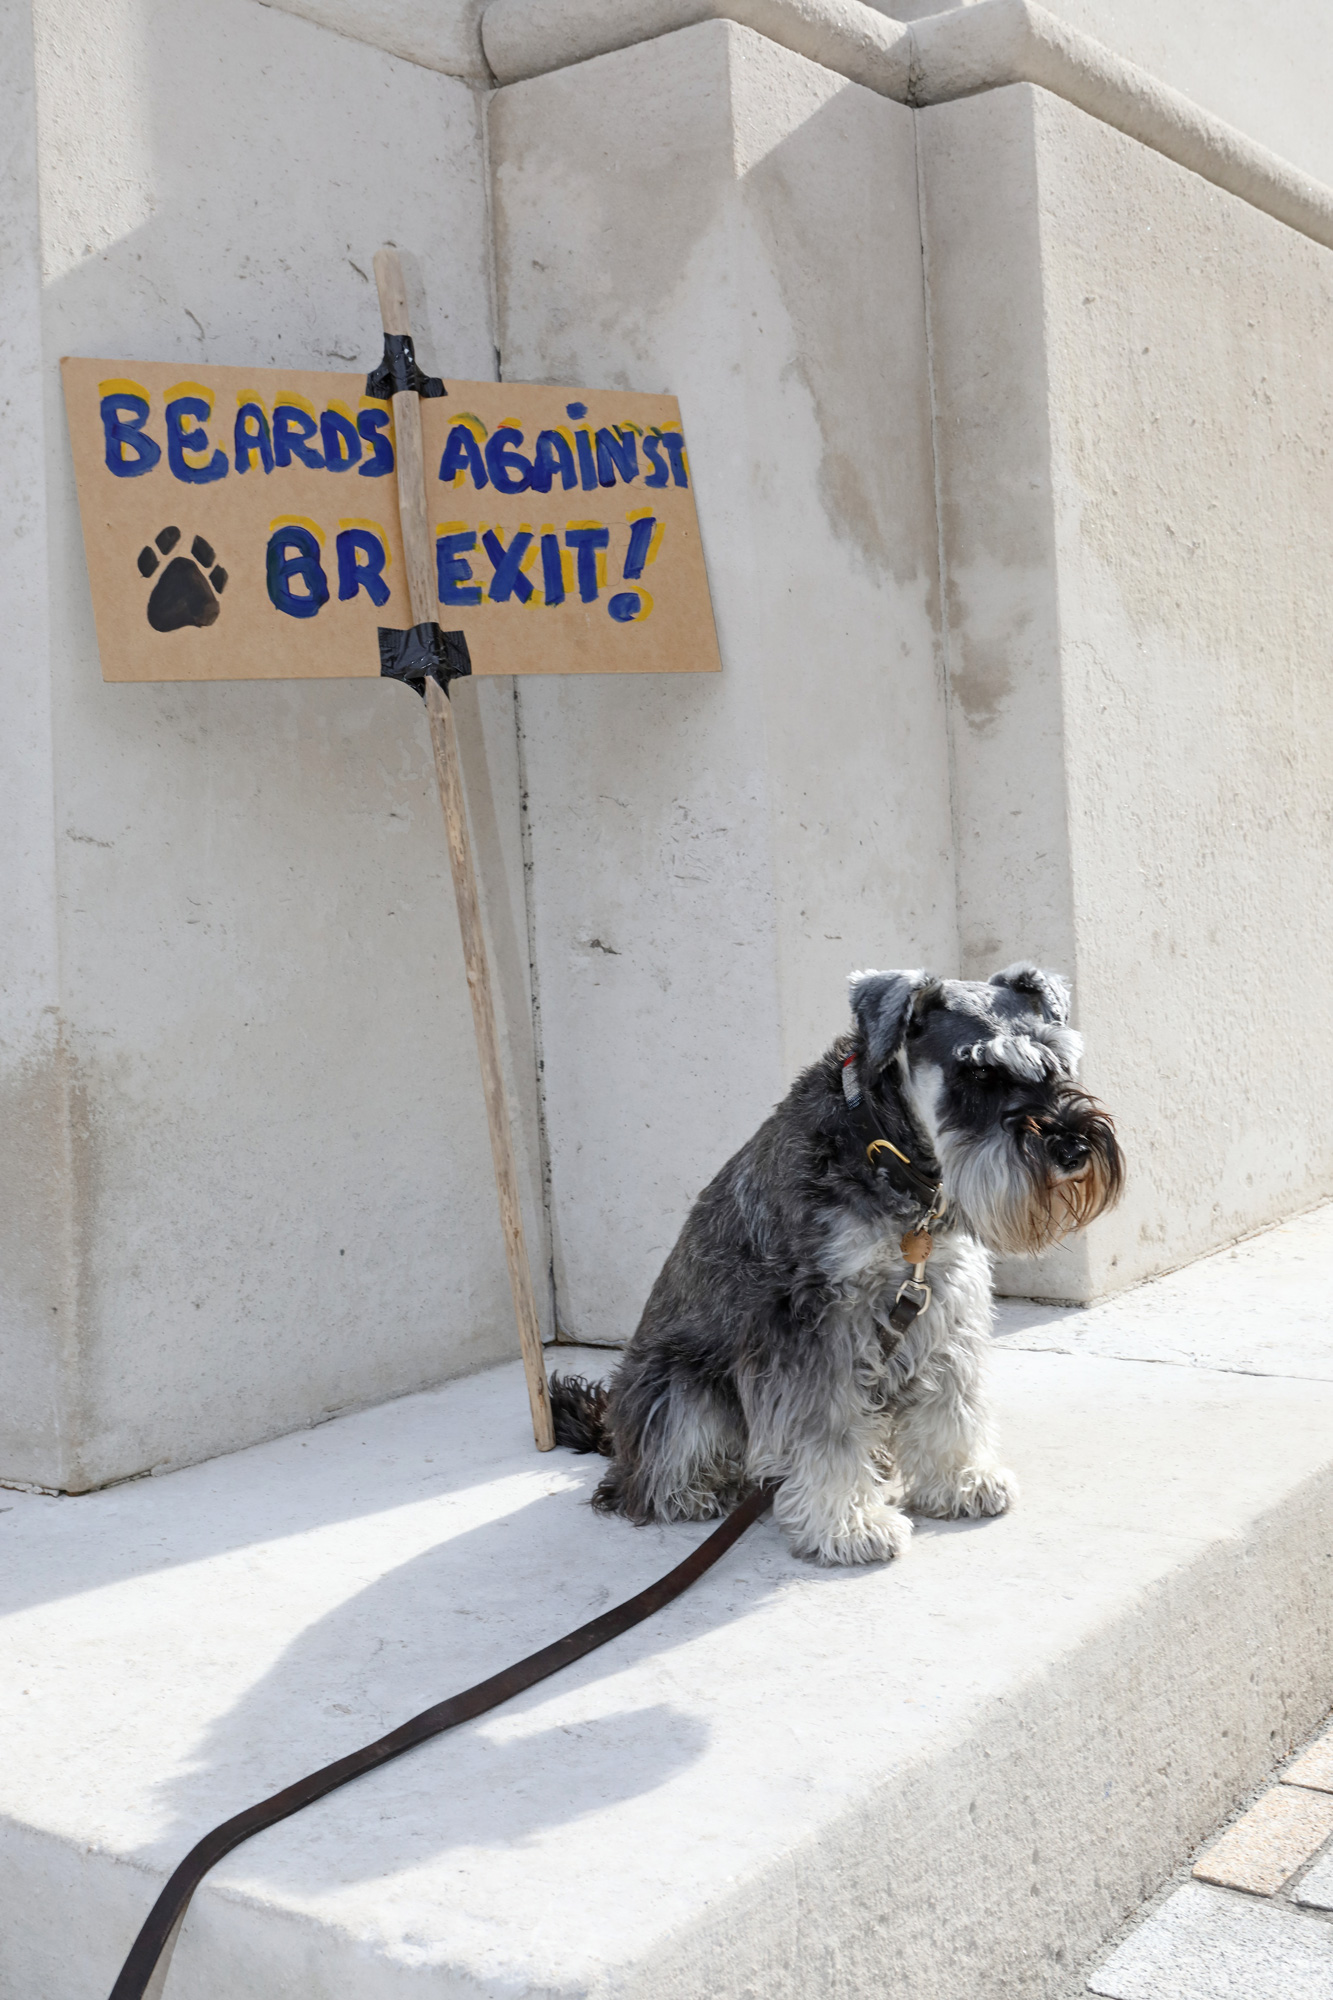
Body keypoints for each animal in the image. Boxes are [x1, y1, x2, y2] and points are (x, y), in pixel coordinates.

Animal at [548, 964, 1120, 1560]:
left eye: (1060, 1062)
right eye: (980, 1072)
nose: (1073, 1147)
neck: (887, 1150)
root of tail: (612, 1431)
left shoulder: (943, 1301)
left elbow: (951, 1400)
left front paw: (961, 1480)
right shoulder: (813, 1321)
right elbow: (829, 1428)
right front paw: (849, 1525)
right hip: (683, 1385)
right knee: (642, 1478)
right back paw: (696, 1489)